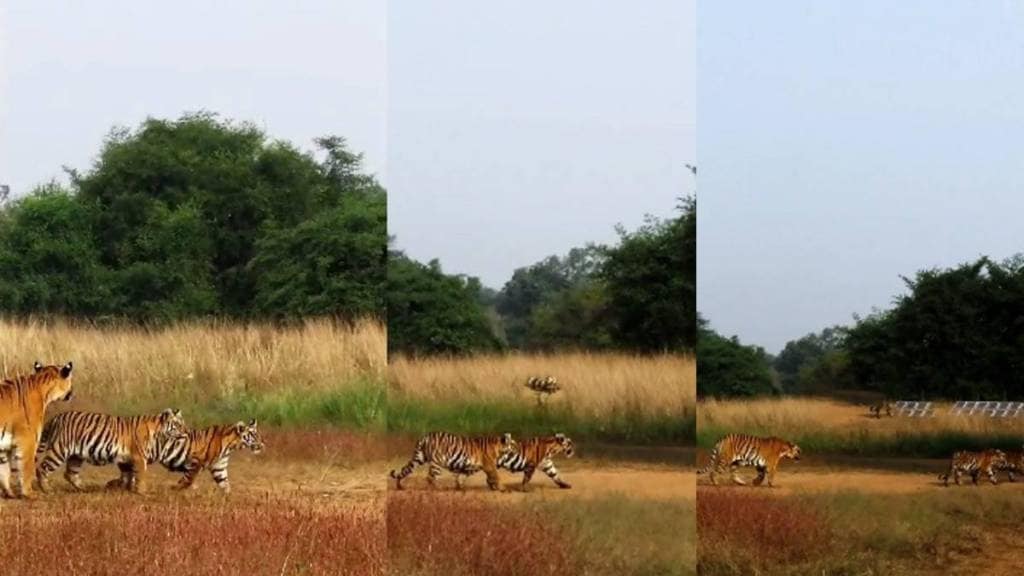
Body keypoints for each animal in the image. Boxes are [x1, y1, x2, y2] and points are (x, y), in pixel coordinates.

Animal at [0, 358, 74, 498]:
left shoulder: (4, 447)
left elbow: (4, 471)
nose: (72, 394)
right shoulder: (28, 441)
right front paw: (29, 493)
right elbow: (27, 468)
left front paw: (9, 493)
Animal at [36, 405, 188, 491]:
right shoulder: (139, 457)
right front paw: (142, 492)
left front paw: (126, 489)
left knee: (70, 474)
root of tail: (56, 417)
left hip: (76, 456)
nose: (186, 433)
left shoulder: (126, 459)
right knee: (42, 468)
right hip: (60, 450)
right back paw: (46, 489)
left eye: (183, 423)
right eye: (178, 425)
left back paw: (84, 489)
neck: (159, 433)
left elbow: (128, 475)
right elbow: (141, 475)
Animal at [107, 414, 264, 491]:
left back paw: (114, 484)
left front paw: (229, 498)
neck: (232, 445)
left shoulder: (219, 468)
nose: (263, 444)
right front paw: (174, 489)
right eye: (254, 435)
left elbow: (225, 484)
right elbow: (188, 480)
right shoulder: (196, 462)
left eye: (259, 435)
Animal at [391, 430, 520, 487]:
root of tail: (425, 437)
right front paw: (502, 488)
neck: (499, 447)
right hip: (437, 462)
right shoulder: (489, 466)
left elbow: (460, 476)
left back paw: (399, 486)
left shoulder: (466, 467)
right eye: (513, 444)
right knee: (430, 478)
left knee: (404, 470)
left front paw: (459, 486)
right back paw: (438, 489)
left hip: (419, 458)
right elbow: (496, 477)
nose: (518, 447)